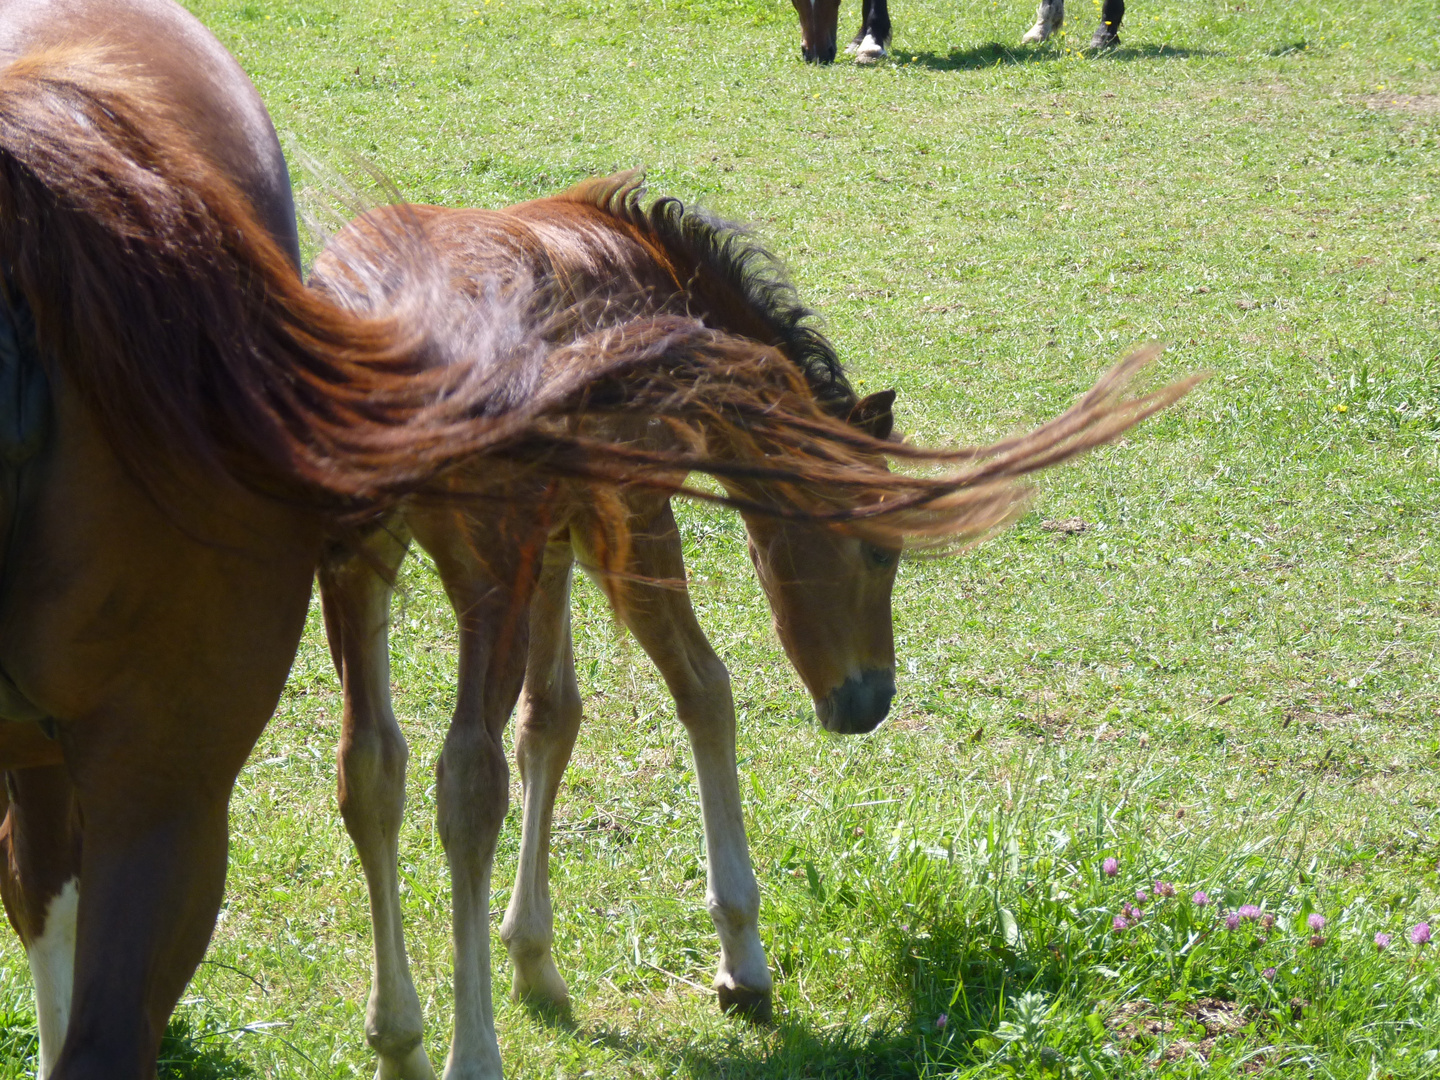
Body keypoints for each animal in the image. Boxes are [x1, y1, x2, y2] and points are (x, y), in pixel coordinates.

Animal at [306, 177, 1192, 1080]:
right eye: (880, 549)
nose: (869, 701)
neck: (654, 279)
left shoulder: (557, 535)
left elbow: (550, 722)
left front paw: (537, 963)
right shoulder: (630, 508)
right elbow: (705, 690)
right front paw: (742, 958)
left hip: (358, 556)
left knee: (371, 767)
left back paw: (400, 1040)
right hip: (480, 560)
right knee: (467, 779)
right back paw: (471, 1050)